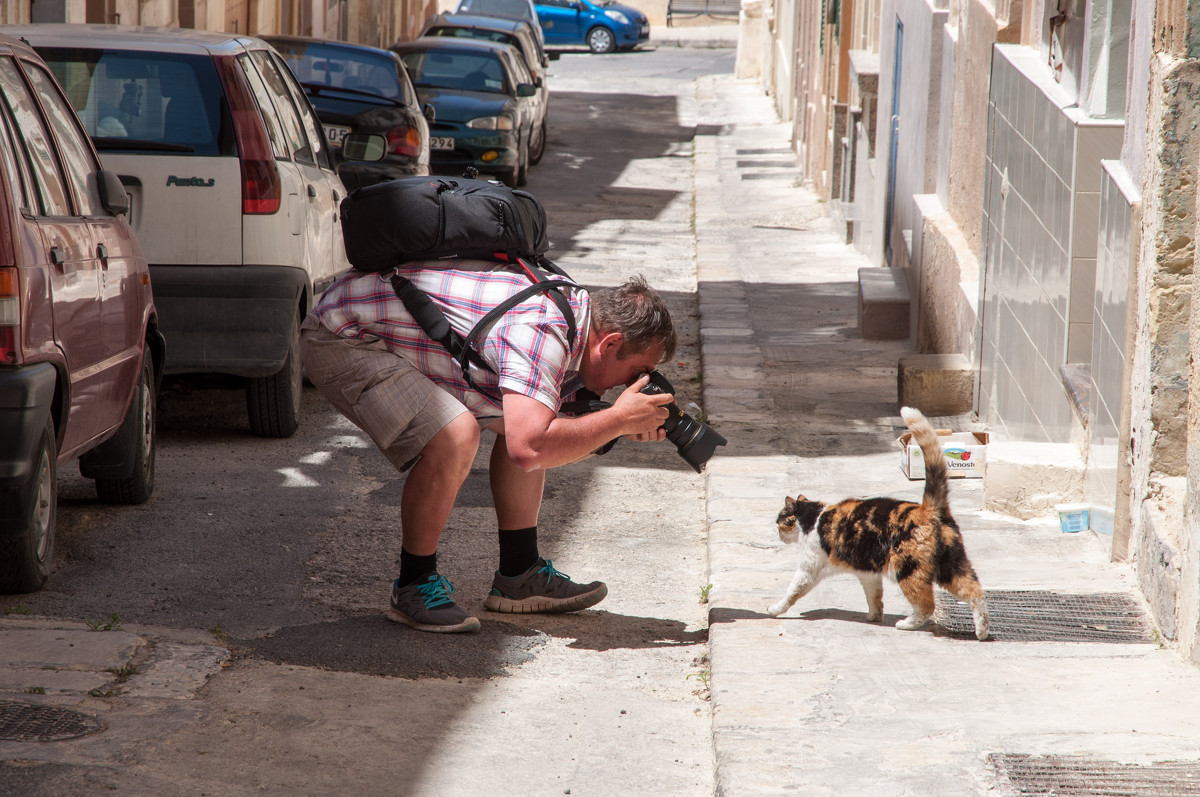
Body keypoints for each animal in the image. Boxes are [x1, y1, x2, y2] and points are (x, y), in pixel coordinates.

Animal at [772, 405, 988, 643]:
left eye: (779, 521)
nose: (777, 533)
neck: (812, 518)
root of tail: (929, 508)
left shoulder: (808, 569)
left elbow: (792, 592)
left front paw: (775, 609)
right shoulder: (868, 573)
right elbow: (874, 596)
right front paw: (874, 616)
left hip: (908, 569)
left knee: (926, 605)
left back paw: (906, 624)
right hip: (951, 566)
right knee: (976, 592)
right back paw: (982, 631)